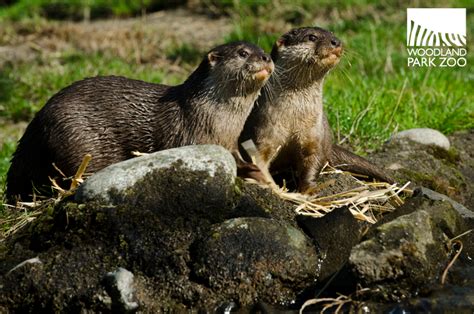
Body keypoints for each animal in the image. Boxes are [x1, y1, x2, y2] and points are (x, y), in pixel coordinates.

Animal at [5, 41, 274, 201]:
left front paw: (260, 174)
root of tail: (35, 125)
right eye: (242, 53)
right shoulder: (191, 137)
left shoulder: (231, 142)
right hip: (75, 136)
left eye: (262, 49)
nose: (266, 57)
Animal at [241, 27, 392, 193]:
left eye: (332, 34)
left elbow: (312, 163)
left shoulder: (314, 137)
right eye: (312, 37)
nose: (336, 42)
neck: (294, 118)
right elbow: (258, 160)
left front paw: (309, 189)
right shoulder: (262, 134)